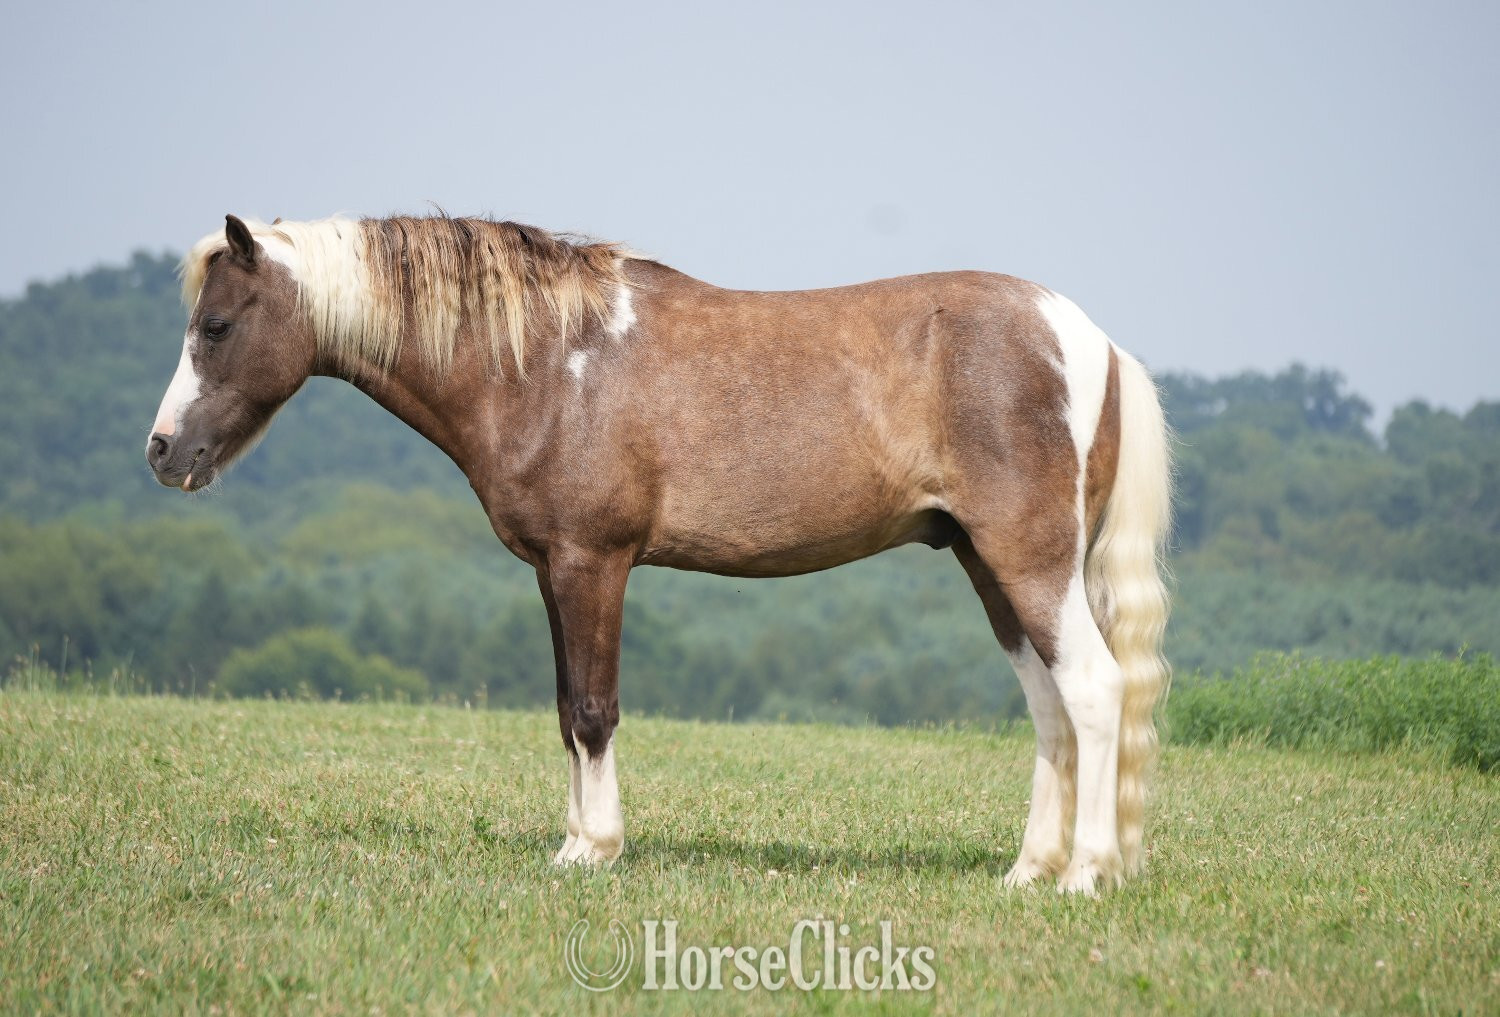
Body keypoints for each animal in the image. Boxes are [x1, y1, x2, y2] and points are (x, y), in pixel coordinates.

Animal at [146, 213, 1171, 894]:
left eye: (217, 326)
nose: (162, 452)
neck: (550, 361)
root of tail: (1090, 340)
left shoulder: (592, 561)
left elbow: (594, 709)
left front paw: (594, 848)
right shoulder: (552, 570)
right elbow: (566, 710)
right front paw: (573, 841)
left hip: (1028, 560)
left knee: (1092, 690)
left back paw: (1084, 874)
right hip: (989, 567)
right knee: (1051, 709)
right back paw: (1027, 870)